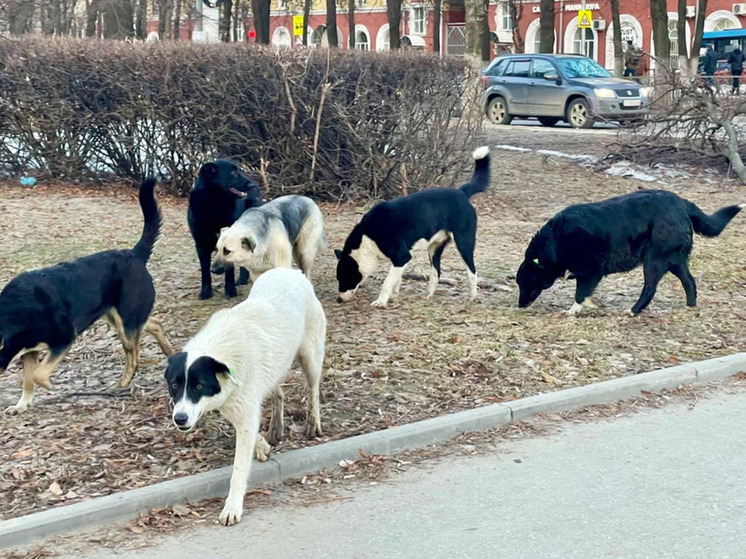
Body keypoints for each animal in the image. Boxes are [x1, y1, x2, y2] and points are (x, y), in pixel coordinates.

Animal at [0, 179, 173, 416]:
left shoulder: (63, 339)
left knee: (134, 355)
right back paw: (170, 352)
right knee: (154, 324)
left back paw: (125, 381)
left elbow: (37, 375)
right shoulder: (29, 351)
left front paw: (48, 386)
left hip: (125, 324)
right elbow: (28, 380)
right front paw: (21, 405)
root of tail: (134, 254)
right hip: (119, 317)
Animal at [164, 270, 324, 528]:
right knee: (278, 393)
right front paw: (262, 445)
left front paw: (232, 507)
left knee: (313, 388)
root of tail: (288, 271)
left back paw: (312, 422)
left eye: (198, 386)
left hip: (310, 355)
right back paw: (275, 428)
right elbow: (251, 430)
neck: (221, 352)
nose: (179, 419)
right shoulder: (236, 406)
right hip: (274, 369)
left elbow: (239, 469)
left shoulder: (243, 409)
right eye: (175, 385)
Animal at [187, 160, 264, 300]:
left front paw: (230, 290)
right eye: (233, 173)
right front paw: (206, 292)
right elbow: (205, 272)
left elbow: (229, 270)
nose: (252, 185)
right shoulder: (201, 245)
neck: (215, 204)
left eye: (239, 171)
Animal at [336, 147, 488, 308]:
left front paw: (381, 302)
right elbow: (396, 281)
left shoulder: (402, 257)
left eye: (344, 278)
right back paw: (428, 295)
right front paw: (394, 297)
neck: (368, 238)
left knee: (472, 272)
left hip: (463, 243)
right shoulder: (400, 261)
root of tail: (461, 192)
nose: (339, 299)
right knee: (436, 273)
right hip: (434, 249)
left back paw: (473, 297)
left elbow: (387, 283)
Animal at [516, 190, 740, 316]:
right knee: (689, 282)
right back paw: (690, 307)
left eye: (525, 283)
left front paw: (582, 308)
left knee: (650, 288)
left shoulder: (592, 270)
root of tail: (683, 204)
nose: (519, 306)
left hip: (654, 260)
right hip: (674, 261)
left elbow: (581, 295)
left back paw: (633, 311)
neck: (555, 242)